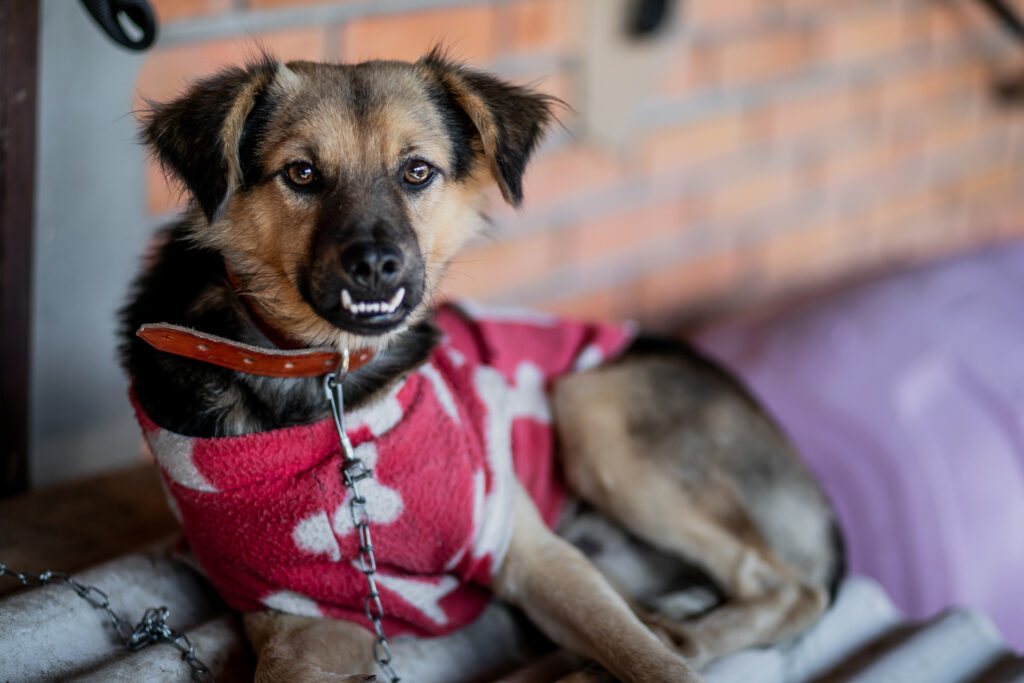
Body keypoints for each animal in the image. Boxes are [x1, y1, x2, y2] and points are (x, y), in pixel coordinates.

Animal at [120, 50, 844, 682]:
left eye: (417, 171)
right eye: (300, 173)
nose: (376, 265)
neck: (330, 381)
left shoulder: (526, 546)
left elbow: (646, 659)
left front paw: (655, 655)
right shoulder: (296, 617)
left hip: (589, 405)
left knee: (787, 588)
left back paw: (680, 636)